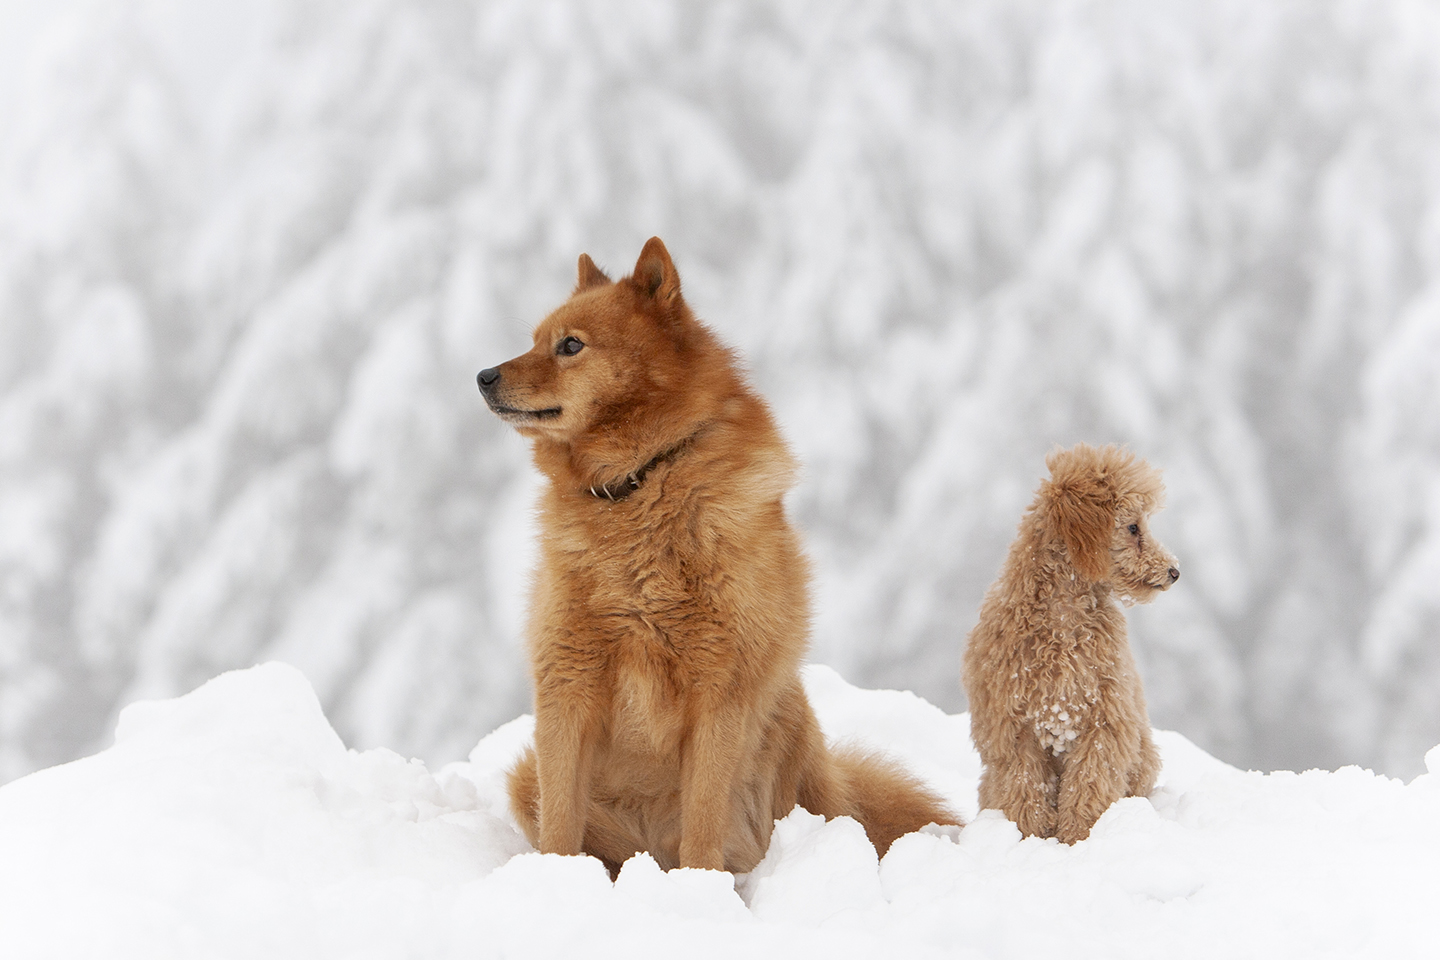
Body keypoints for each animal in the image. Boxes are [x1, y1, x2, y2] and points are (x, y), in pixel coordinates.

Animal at [478, 238, 961, 869]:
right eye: (535, 340)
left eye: (571, 345)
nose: (483, 375)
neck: (639, 482)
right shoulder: (567, 686)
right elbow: (560, 827)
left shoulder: (718, 695)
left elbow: (704, 825)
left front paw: (697, 886)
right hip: (528, 774)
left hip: (787, 726)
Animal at [961, 443, 1175, 840]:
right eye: (1133, 527)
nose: (1174, 570)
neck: (1062, 616)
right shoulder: (1013, 728)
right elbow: (1025, 789)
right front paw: (1027, 837)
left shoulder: (1104, 720)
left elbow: (1089, 784)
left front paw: (1079, 837)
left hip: (1142, 757)